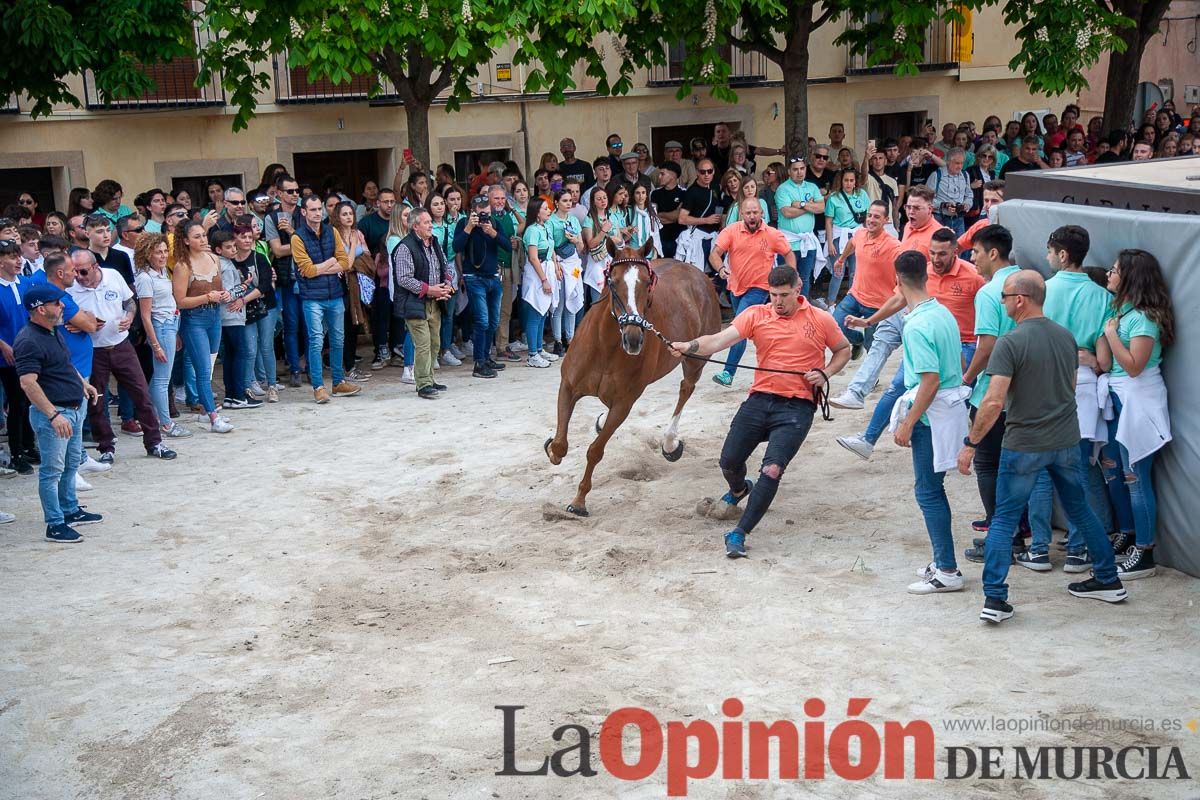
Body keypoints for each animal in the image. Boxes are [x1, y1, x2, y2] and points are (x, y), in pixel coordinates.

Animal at [544, 241, 720, 515]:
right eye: (613, 282)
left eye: (647, 283)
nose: (634, 338)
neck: (605, 347)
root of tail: (698, 274)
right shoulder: (569, 387)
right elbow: (561, 444)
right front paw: (553, 450)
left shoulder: (623, 405)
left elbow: (596, 450)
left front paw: (579, 501)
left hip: (695, 358)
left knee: (686, 388)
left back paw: (670, 442)